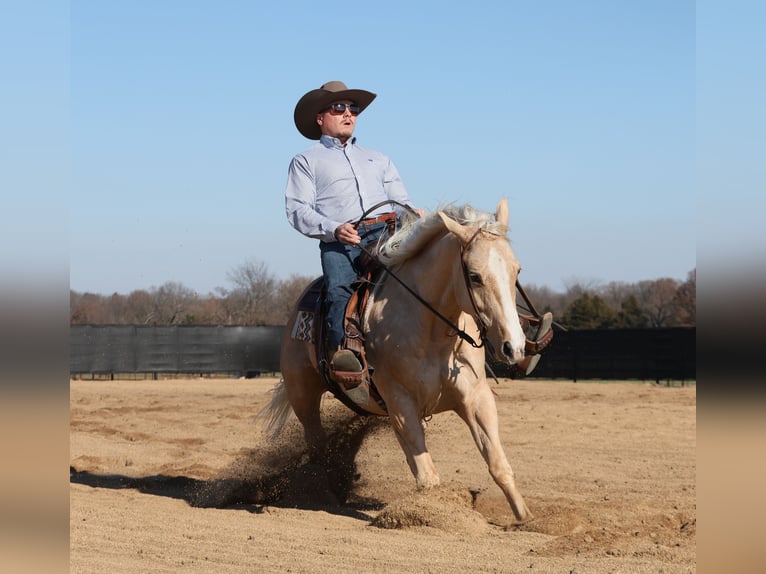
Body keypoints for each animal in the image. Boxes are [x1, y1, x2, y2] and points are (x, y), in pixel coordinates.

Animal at [264, 200, 536, 524]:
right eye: (474, 276)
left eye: (517, 270)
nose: (514, 347)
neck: (430, 330)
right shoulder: (400, 403)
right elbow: (428, 477)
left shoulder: (476, 397)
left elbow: (498, 464)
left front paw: (525, 519)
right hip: (303, 397)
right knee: (318, 448)